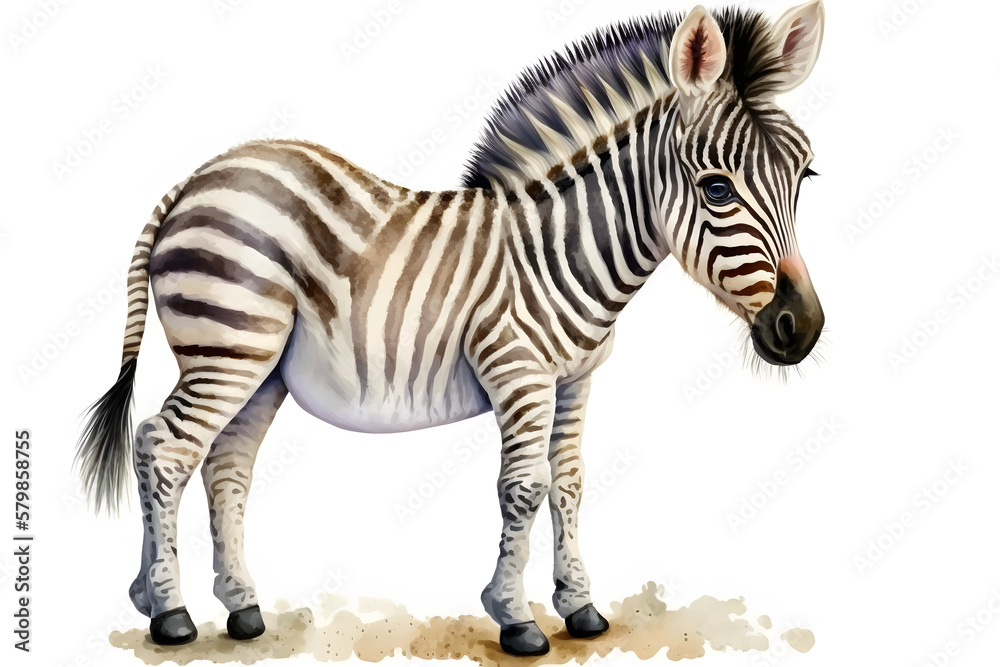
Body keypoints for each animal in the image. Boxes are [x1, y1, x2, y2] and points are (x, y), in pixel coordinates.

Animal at [76, 1, 826, 656]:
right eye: (717, 187)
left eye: (806, 173)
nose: (805, 328)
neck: (558, 249)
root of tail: (194, 180)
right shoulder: (517, 371)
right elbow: (523, 487)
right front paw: (516, 619)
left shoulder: (576, 378)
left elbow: (570, 482)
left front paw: (581, 607)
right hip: (228, 344)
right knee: (164, 448)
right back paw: (169, 612)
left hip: (259, 367)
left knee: (222, 463)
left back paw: (230, 605)